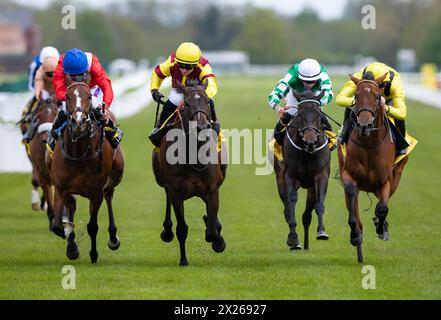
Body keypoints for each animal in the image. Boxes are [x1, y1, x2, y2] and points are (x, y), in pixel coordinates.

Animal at [46, 80, 124, 262]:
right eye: (67, 97)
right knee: (72, 205)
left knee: (109, 194)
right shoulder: (60, 188)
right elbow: (58, 227)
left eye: (89, 96)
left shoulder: (95, 192)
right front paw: (71, 245)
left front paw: (94, 254)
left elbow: (92, 226)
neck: (78, 152)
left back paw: (113, 238)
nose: (79, 121)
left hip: (116, 174)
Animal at [152, 81, 227, 266]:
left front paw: (217, 239)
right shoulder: (175, 191)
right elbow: (182, 228)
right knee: (166, 196)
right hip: (161, 179)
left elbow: (212, 230)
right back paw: (167, 230)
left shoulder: (212, 189)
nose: (201, 128)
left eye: (207, 101)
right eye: (186, 104)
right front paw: (183, 259)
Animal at [272, 89, 330, 250]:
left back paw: (306, 244)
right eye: (300, 115)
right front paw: (293, 238)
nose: (310, 142)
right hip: (280, 177)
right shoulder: (290, 177)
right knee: (286, 208)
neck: (307, 152)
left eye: (318, 115)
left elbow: (319, 203)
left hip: (310, 186)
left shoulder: (321, 176)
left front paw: (321, 231)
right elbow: (291, 201)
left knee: (306, 215)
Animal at [336, 73, 410, 262]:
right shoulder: (349, 176)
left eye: (377, 97)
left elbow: (383, 208)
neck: (370, 144)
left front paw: (381, 228)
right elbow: (352, 206)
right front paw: (355, 235)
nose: (364, 125)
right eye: (356, 96)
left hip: (396, 175)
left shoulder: (385, 181)